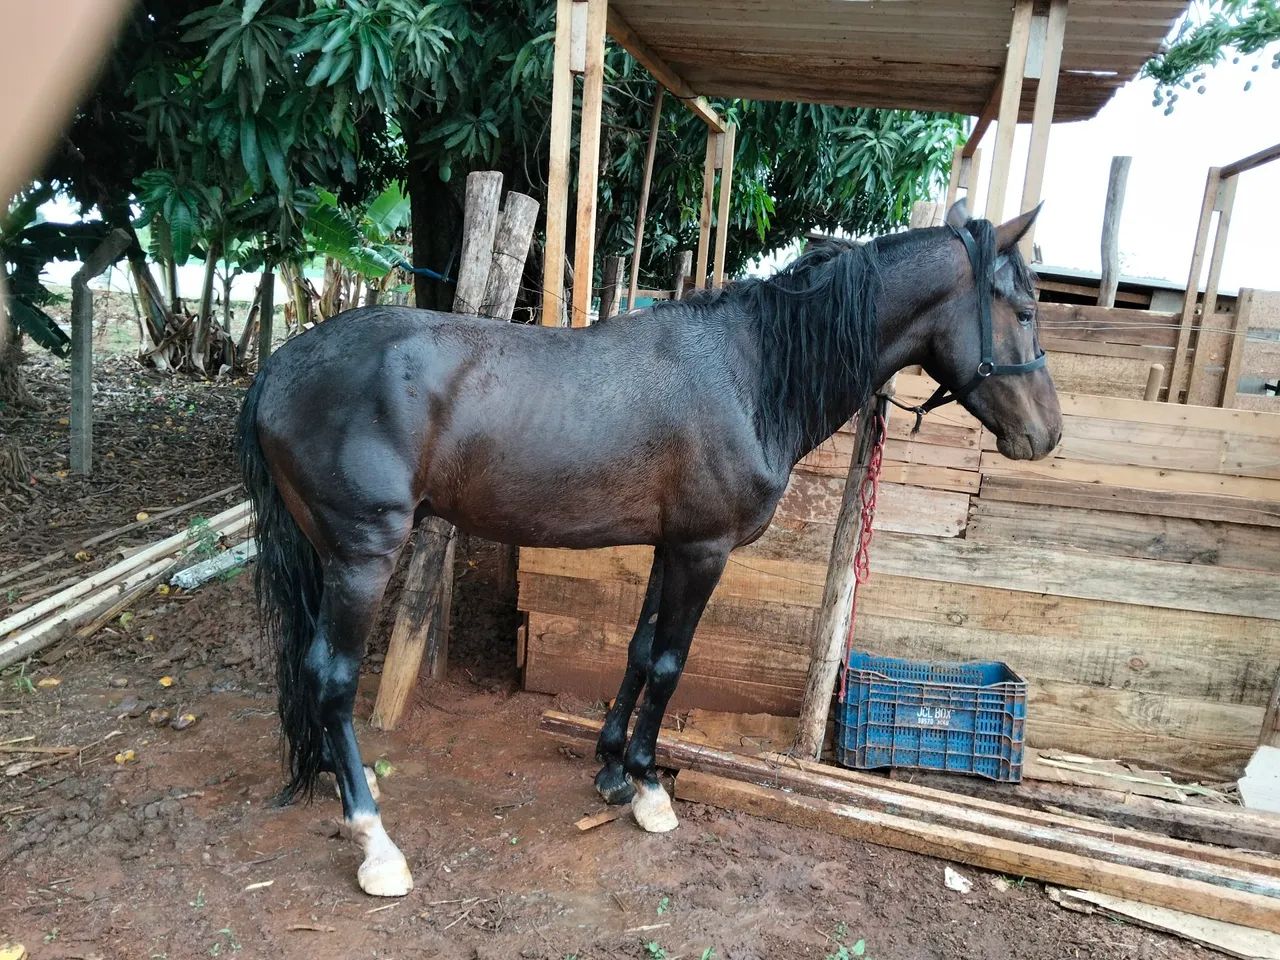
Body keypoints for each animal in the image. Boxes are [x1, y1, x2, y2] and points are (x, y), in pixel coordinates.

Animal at [236, 199, 1062, 897]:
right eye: (1024, 309)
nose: (1047, 435)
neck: (747, 372)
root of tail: (281, 365)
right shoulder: (706, 550)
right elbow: (670, 664)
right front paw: (649, 787)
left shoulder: (674, 545)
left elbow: (637, 652)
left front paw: (609, 769)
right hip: (364, 556)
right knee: (333, 678)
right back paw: (375, 842)